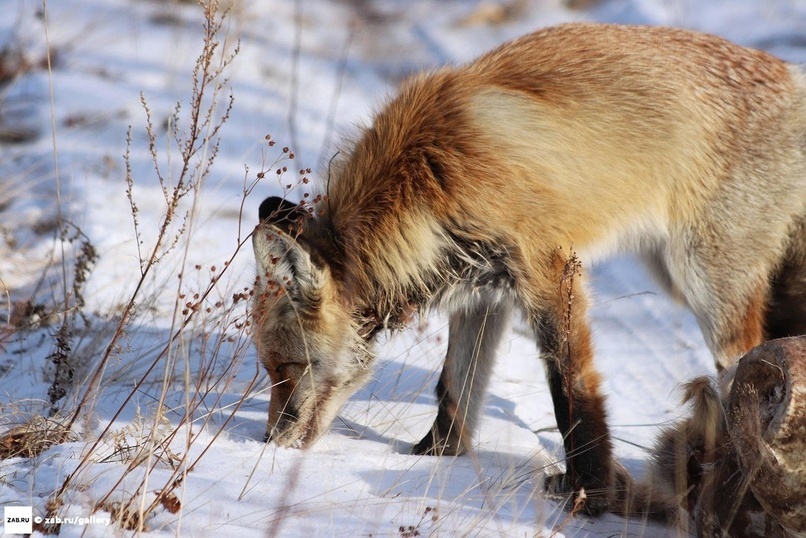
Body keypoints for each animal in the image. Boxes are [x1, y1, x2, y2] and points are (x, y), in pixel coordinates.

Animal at [251, 24, 806, 516]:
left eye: (288, 367)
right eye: (270, 369)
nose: (270, 442)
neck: (427, 176)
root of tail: (790, 75)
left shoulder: (550, 273)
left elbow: (571, 396)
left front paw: (590, 494)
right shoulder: (481, 291)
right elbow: (454, 389)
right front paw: (436, 458)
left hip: (705, 287)